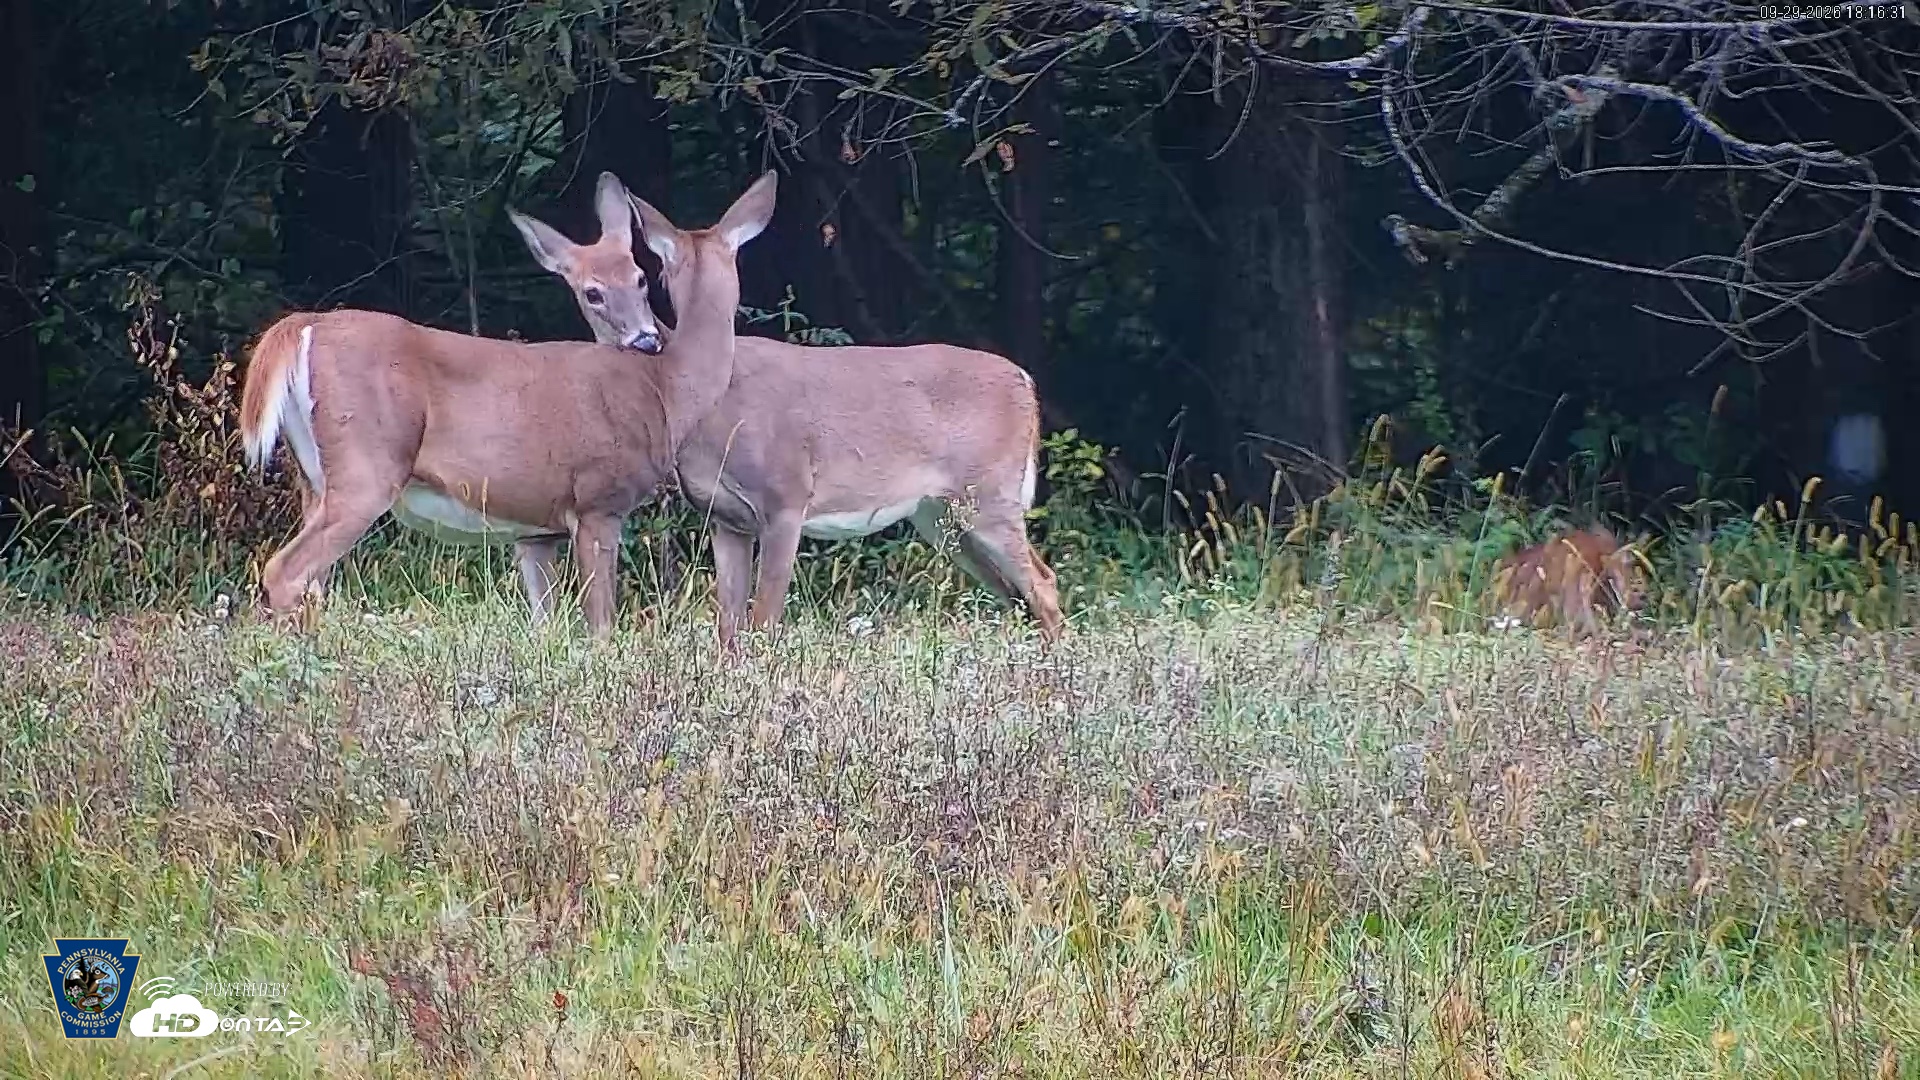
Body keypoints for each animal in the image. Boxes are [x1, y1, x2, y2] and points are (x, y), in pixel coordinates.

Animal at [239, 170, 778, 636]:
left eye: (641, 277)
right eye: (592, 293)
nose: (646, 338)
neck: (665, 391)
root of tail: (305, 324)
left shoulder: (535, 531)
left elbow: (545, 622)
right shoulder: (598, 500)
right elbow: (600, 625)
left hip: (313, 479)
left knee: (311, 580)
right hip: (366, 466)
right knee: (286, 571)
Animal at [507, 183, 1065, 652]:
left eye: (644, 278)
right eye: (591, 291)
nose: (642, 339)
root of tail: (1026, 380)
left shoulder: (787, 497)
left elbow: (764, 618)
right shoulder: (725, 517)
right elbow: (729, 625)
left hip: (987, 493)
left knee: (1043, 583)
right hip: (940, 513)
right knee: (1015, 593)